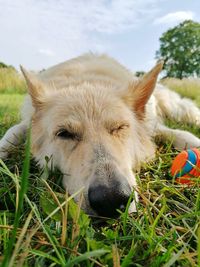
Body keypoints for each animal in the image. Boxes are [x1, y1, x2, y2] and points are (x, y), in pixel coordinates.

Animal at [0, 54, 200, 218]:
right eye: (64, 133)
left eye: (120, 127)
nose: (111, 199)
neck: (87, 80)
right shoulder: (26, 124)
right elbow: (11, 134)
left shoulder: (154, 126)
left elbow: (178, 134)